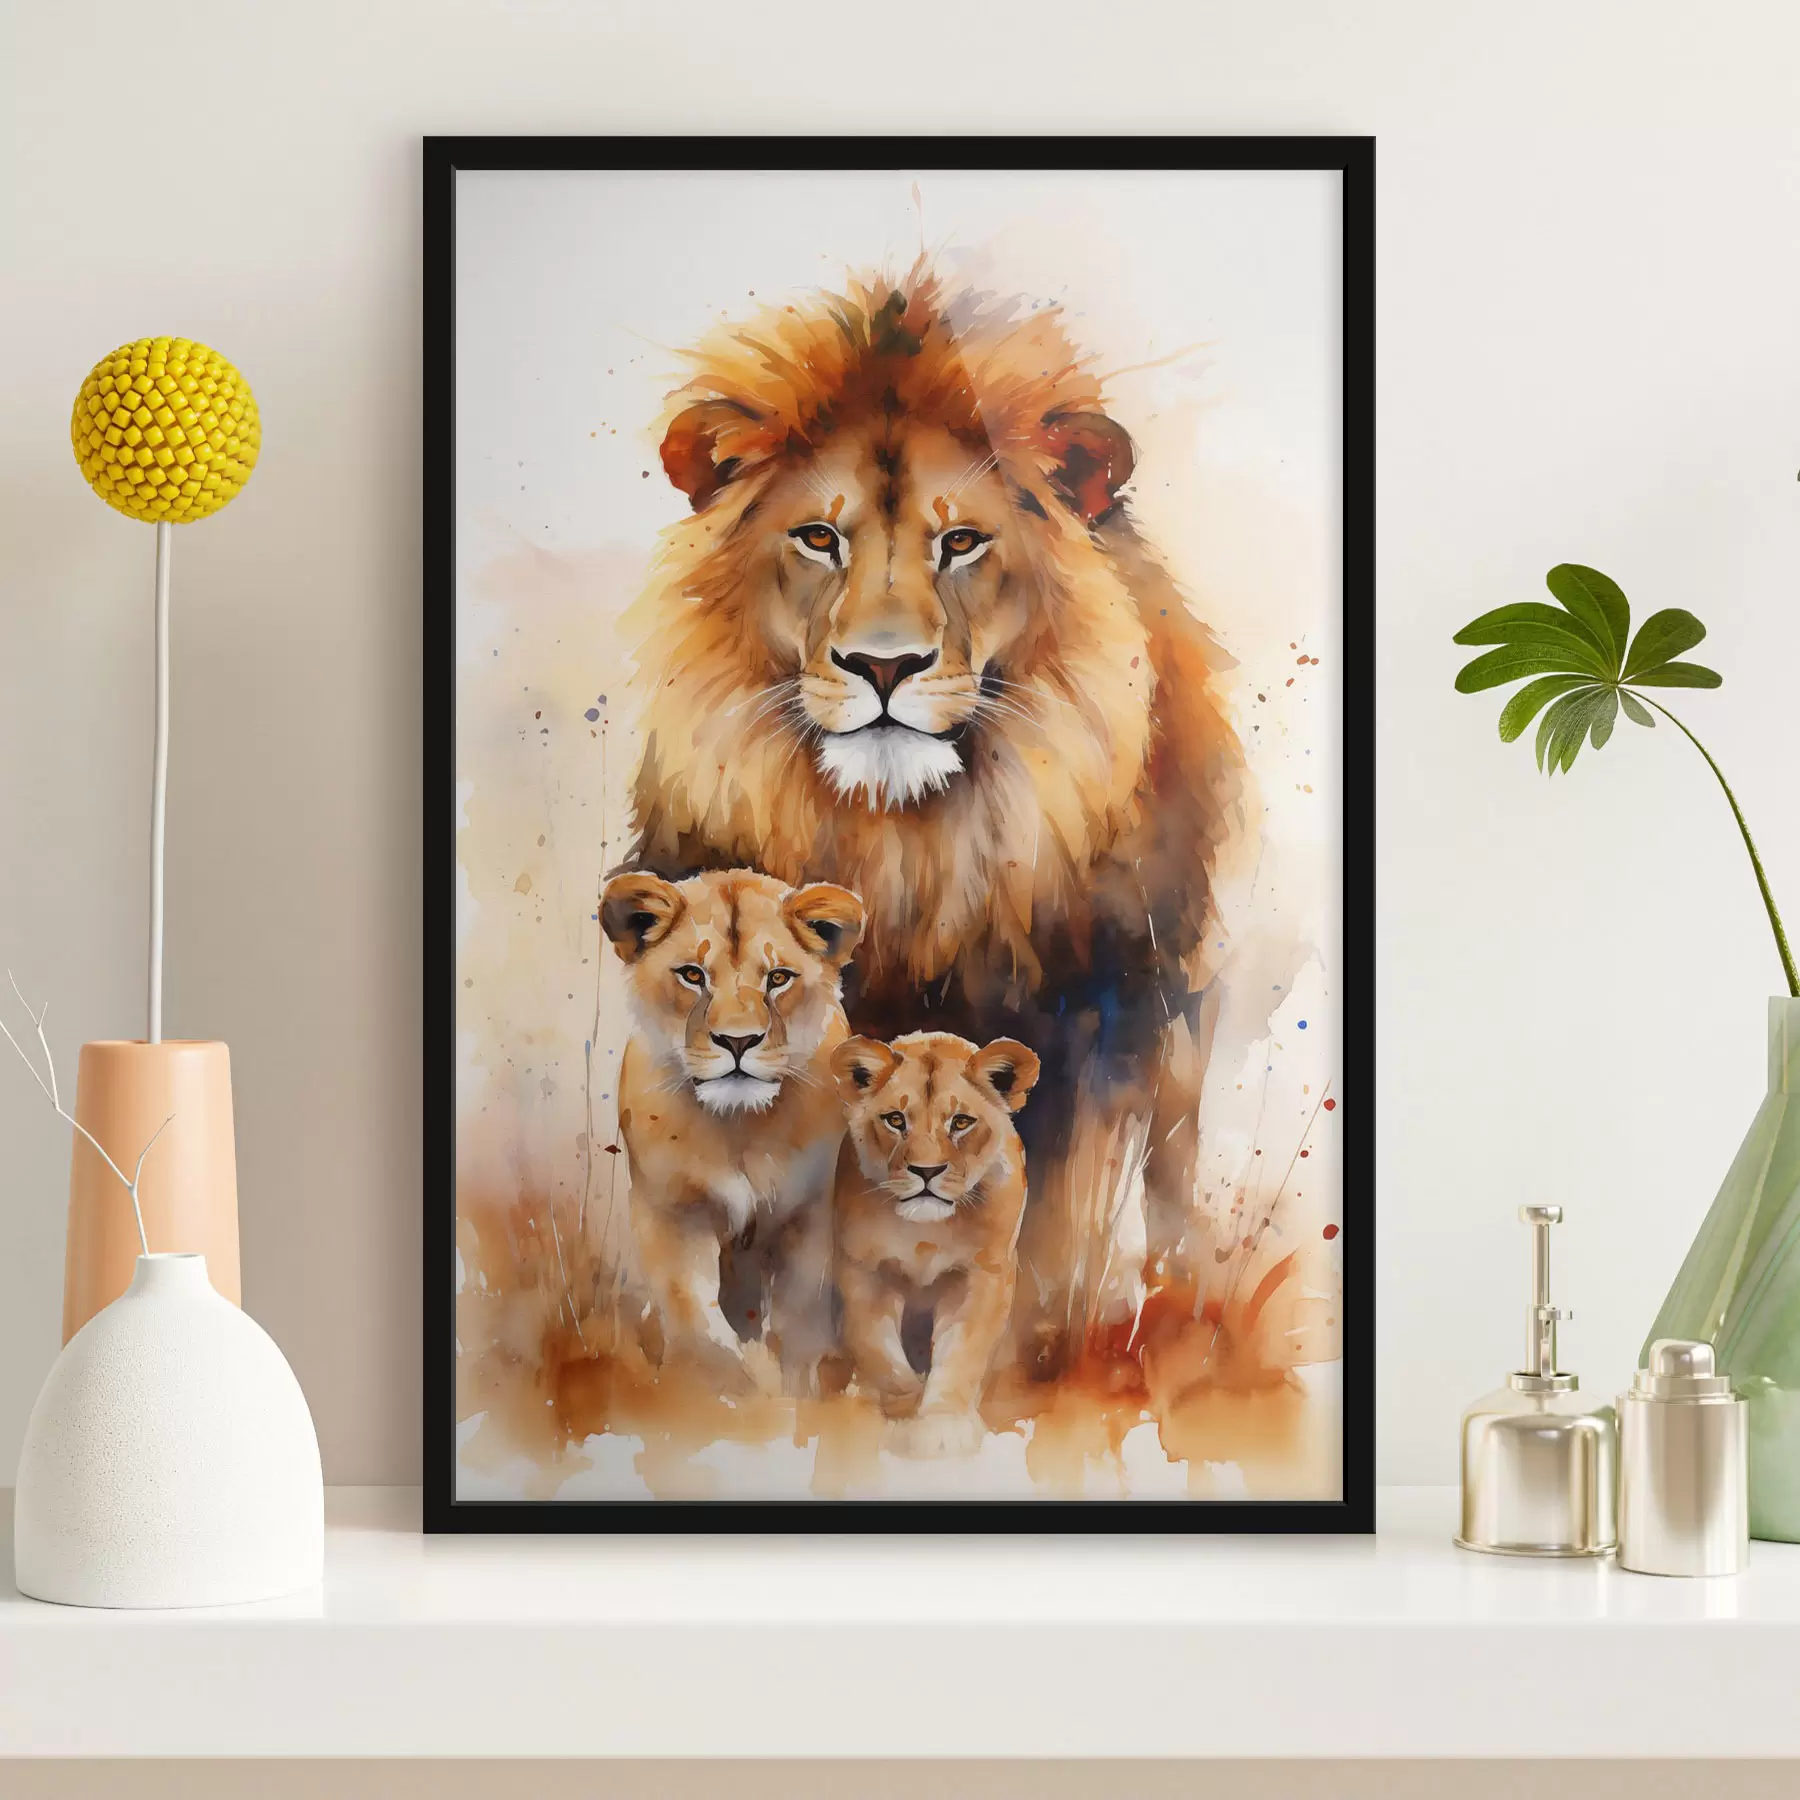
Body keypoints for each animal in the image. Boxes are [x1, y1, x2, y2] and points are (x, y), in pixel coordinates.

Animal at [600, 866, 864, 1394]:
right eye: (692, 975)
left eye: (778, 978)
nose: (738, 1041)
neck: (738, 1127)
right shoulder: (671, 1211)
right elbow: (694, 1318)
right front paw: (727, 1394)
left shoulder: (809, 1214)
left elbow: (799, 1319)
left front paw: (795, 1391)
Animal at [623, 265, 1244, 1375]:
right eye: (817, 538)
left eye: (961, 543)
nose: (883, 666)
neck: (910, 846)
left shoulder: (1097, 1016)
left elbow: (1048, 1231)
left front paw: (1024, 1359)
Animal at [832, 1030, 1040, 1457]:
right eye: (895, 1120)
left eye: (960, 1122)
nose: (926, 1172)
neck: (926, 1233)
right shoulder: (862, 1270)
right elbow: (879, 1352)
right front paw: (903, 1408)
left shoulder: (983, 1274)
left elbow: (961, 1353)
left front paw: (943, 1425)